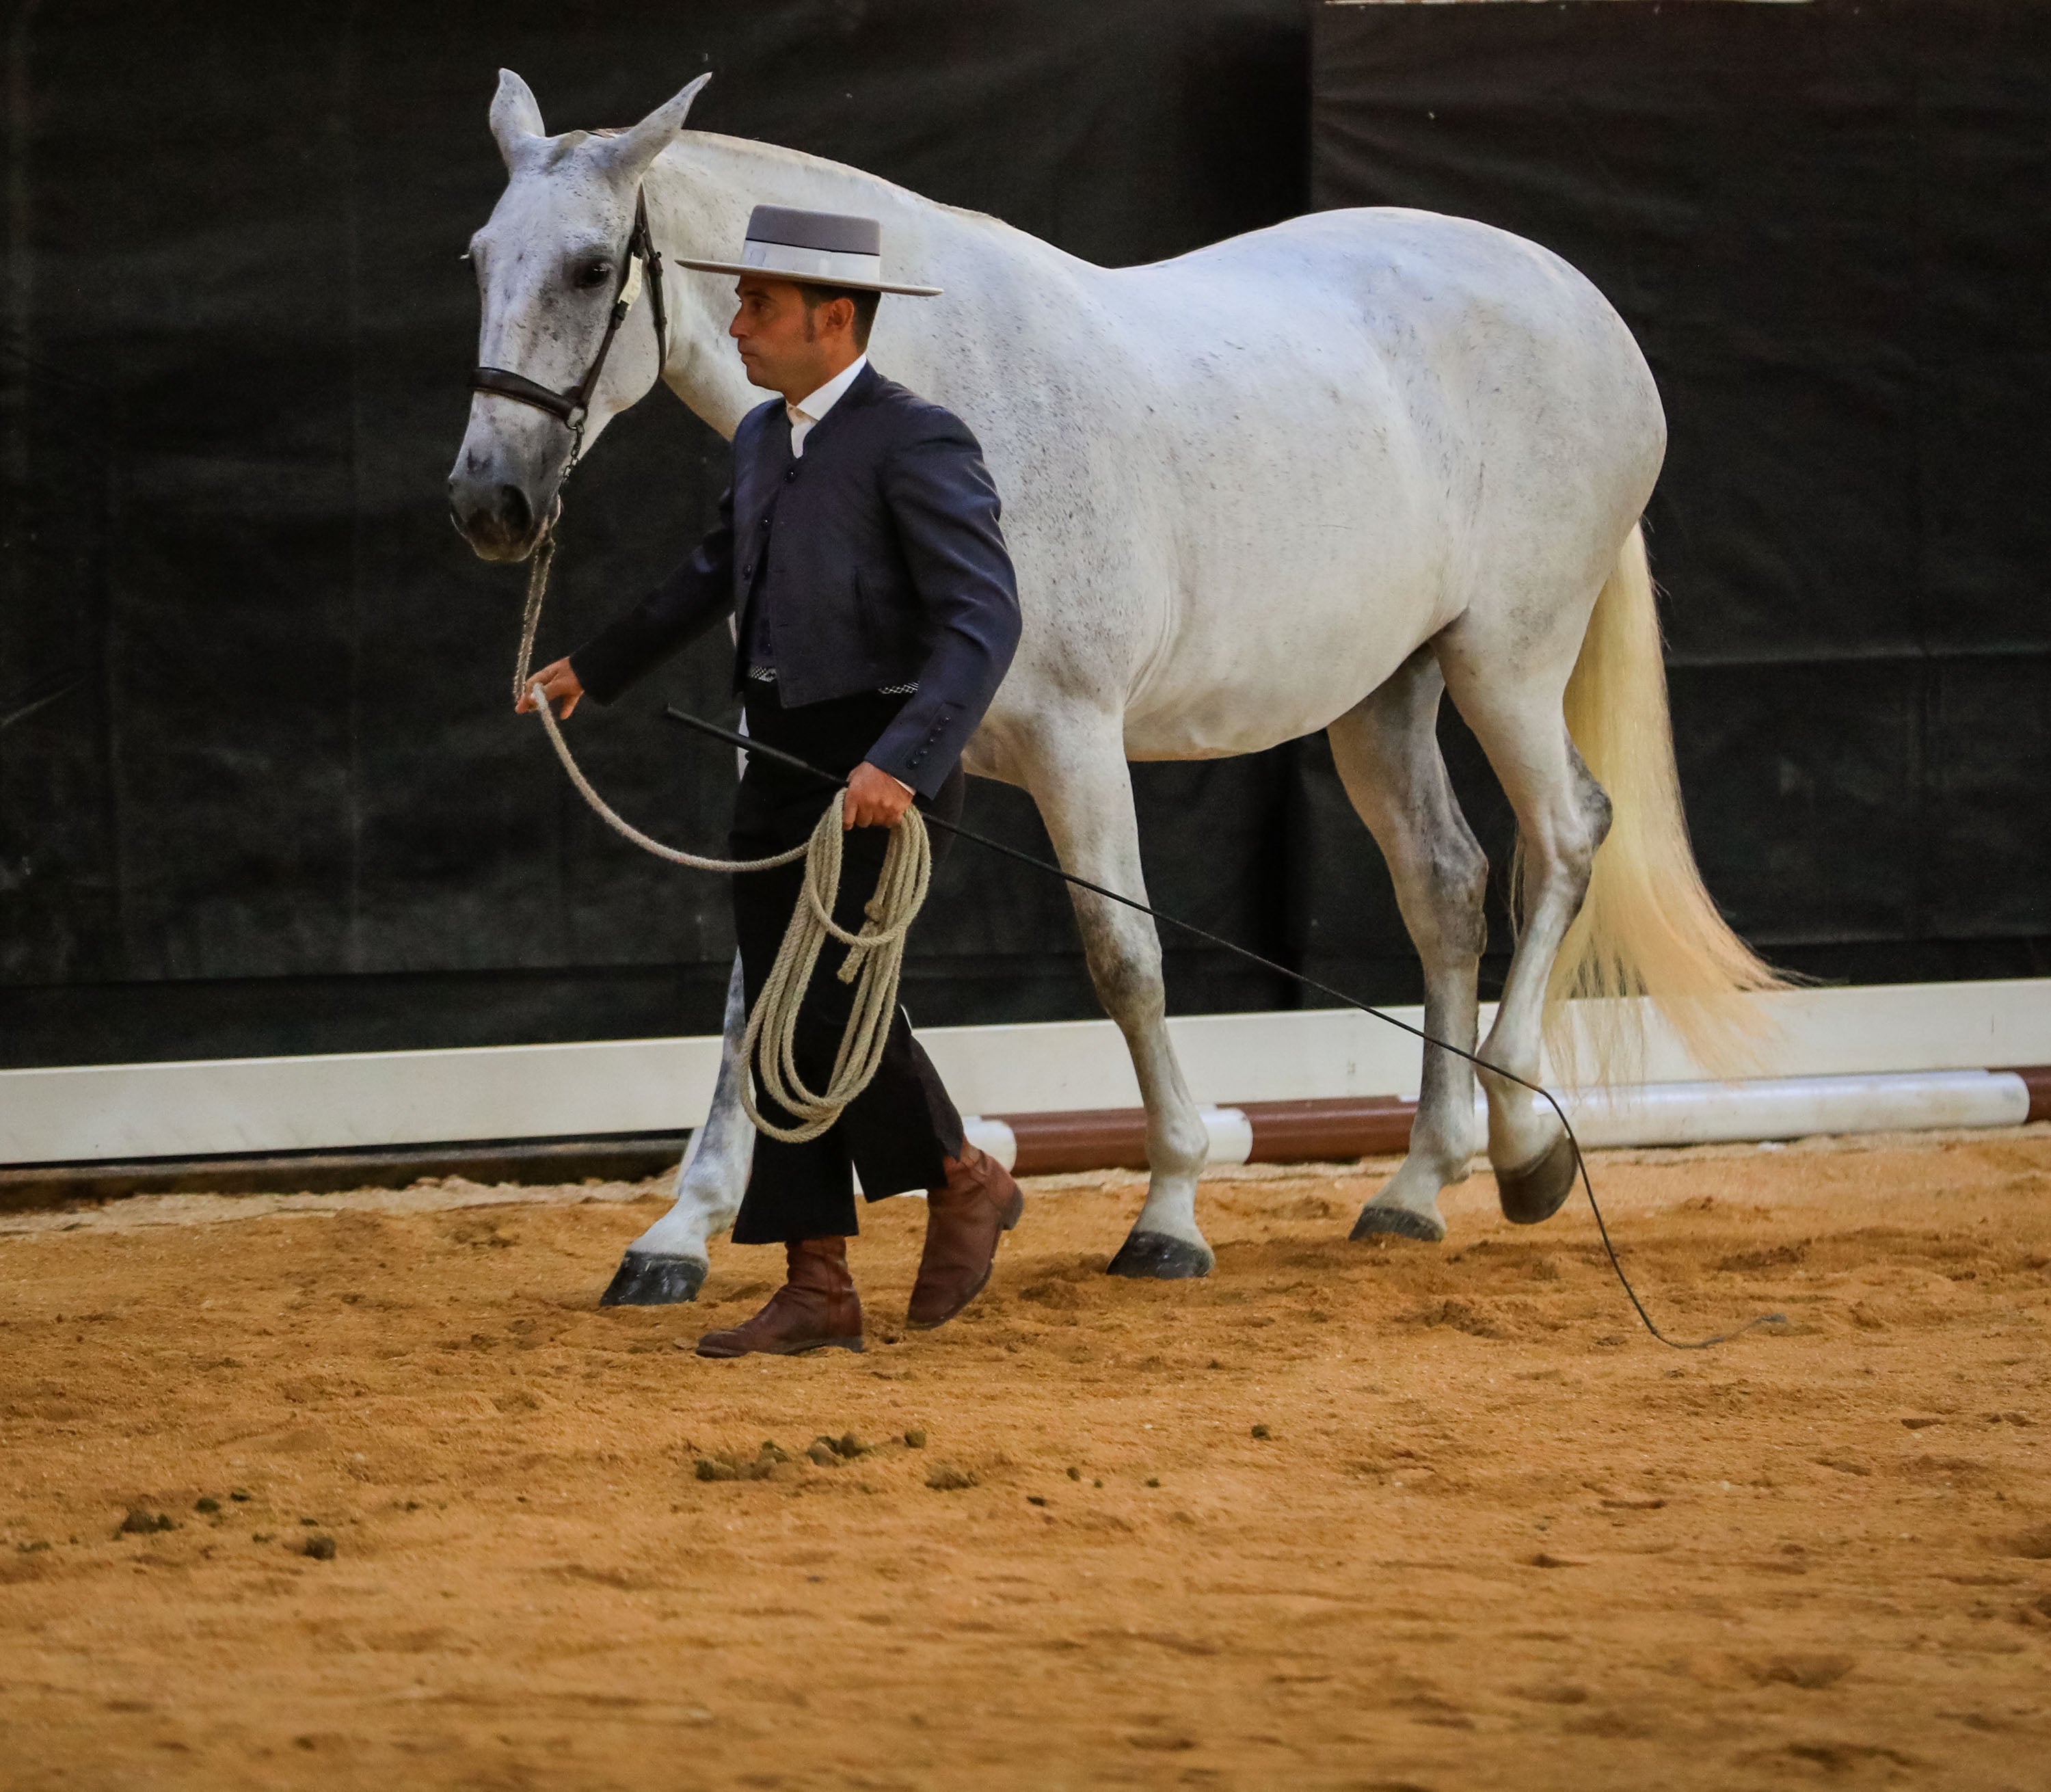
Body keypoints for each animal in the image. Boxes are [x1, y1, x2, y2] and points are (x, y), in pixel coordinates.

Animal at [449, 73, 1780, 1296]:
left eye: (588, 269)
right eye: (479, 258)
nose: (489, 502)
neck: (933, 385)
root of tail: (1575, 299)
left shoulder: (1072, 738)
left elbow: (1123, 956)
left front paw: (1171, 1211)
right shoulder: (822, 751)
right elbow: (759, 976)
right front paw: (678, 1233)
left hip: (1507, 661)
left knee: (1566, 838)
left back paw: (1522, 1145)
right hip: (1381, 693)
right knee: (1446, 887)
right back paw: (1414, 1186)